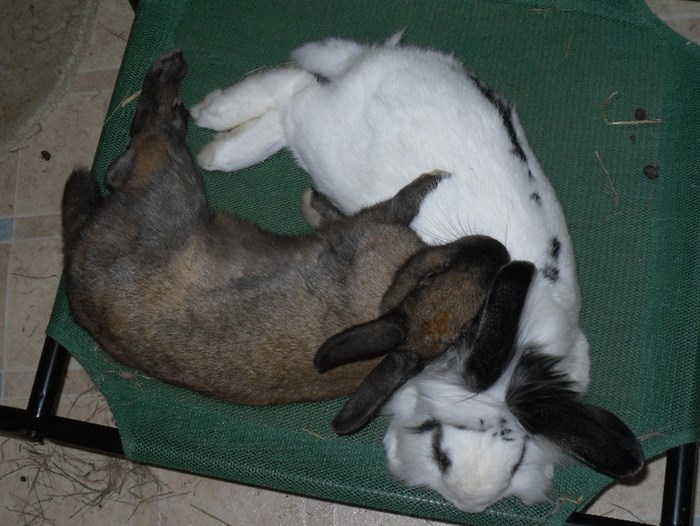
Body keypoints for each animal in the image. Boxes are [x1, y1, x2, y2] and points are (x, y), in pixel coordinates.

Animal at [62, 50, 511, 432]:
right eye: (442, 268)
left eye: (471, 321)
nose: (499, 250)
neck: (393, 291)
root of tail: (77, 261)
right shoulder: (373, 225)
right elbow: (392, 203)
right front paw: (433, 177)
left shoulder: (372, 224)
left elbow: (396, 203)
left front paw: (430, 177)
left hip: (173, 180)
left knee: (146, 139)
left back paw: (171, 78)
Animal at [191, 33, 644, 508]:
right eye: (439, 445)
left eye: (516, 463)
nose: (469, 501)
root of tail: (379, 61)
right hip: (327, 142)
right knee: (297, 90)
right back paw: (214, 128)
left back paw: (223, 143)